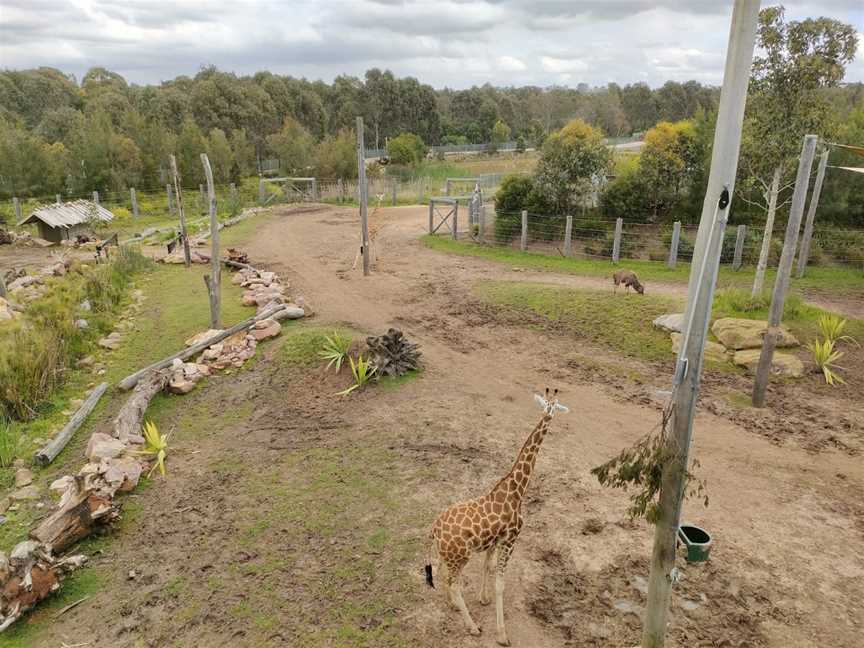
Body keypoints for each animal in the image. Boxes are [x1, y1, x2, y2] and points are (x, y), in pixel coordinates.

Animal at [424, 388, 568, 644]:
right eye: (549, 405)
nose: (550, 415)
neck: (516, 489)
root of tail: (434, 530)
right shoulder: (511, 539)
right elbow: (500, 582)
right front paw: (502, 634)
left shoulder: (494, 540)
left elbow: (487, 567)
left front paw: (484, 599)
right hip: (460, 557)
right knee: (454, 584)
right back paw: (472, 627)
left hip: (446, 555)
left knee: (442, 574)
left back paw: (452, 606)